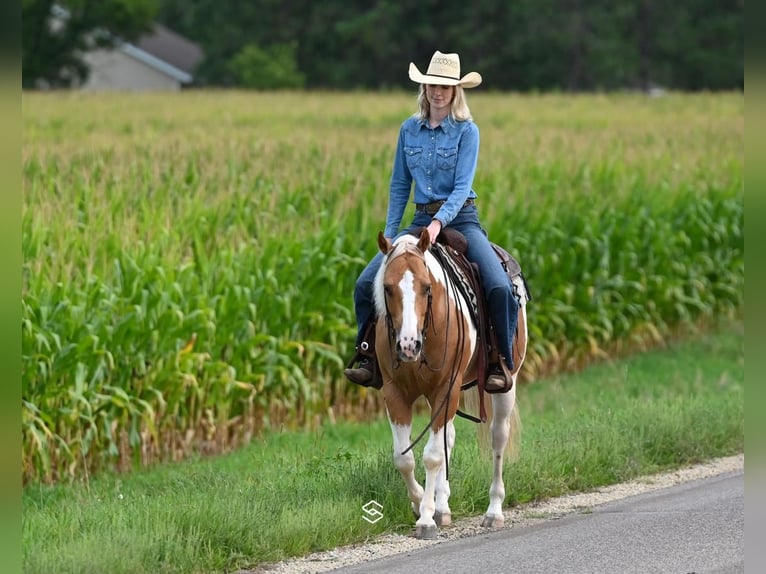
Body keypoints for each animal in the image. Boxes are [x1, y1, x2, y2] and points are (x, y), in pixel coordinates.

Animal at [376, 228, 532, 540]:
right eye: (387, 288)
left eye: (427, 288)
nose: (408, 346)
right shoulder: (395, 392)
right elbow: (404, 458)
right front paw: (421, 504)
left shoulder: (445, 389)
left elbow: (433, 456)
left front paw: (425, 520)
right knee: (448, 437)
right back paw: (443, 507)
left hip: (505, 384)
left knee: (498, 437)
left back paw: (493, 511)